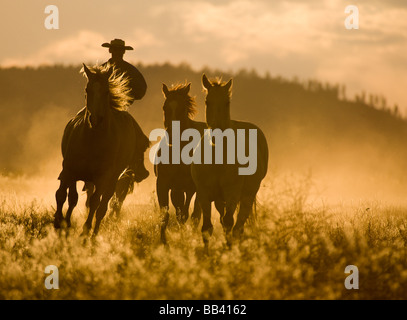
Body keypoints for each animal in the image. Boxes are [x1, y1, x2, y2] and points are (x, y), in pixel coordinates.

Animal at [53, 63, 144, 236]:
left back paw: (94, 233)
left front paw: (85, 230)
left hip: (112, 181)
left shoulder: (103, 177)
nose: (95, 119)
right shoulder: (69, 171)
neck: (92, 140)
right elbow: (63, 195)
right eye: (87, 90)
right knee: (76, 198)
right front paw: (59, 223)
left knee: (102, 206)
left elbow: (95, 202)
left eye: (106, 91)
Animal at [156, 83, 207, 245]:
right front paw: (163, 243)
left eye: (182, 109)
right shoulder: (164, 185)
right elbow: (165, 215)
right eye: (164, 107)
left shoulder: (194, 188)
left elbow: (190, 215)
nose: (172, 134)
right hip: (178, 190)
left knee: (195, 215)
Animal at [192, 74, 270, 252]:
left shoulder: (233, 193)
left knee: (238, 225)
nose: (217, 132)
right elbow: (207, 228)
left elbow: (229, 223)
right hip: (220, 199)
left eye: (227, 102)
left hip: (247, 196)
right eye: (207, 101)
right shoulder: (204, 194)